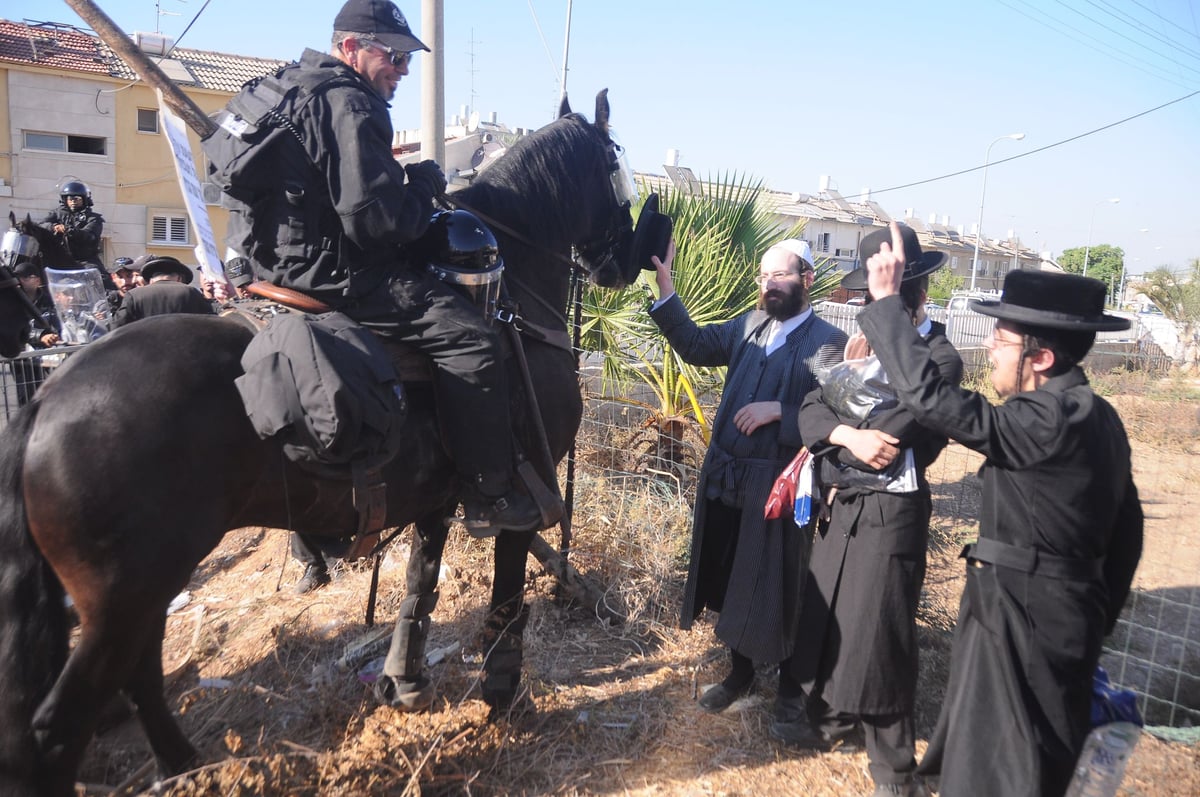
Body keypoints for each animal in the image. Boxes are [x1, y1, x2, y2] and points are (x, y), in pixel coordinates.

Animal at [0, 90, 638, 792]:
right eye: (616, 164)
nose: (625, 261)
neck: (507, 300)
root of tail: (49, 397)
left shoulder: (438, 499)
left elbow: (419, 581)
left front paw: (403, 680)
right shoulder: (524, 498)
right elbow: (504, 597)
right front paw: (500, 694)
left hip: (142, 590)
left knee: (139, 675)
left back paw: (186, 764)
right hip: (123, 596)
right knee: (62, 724)